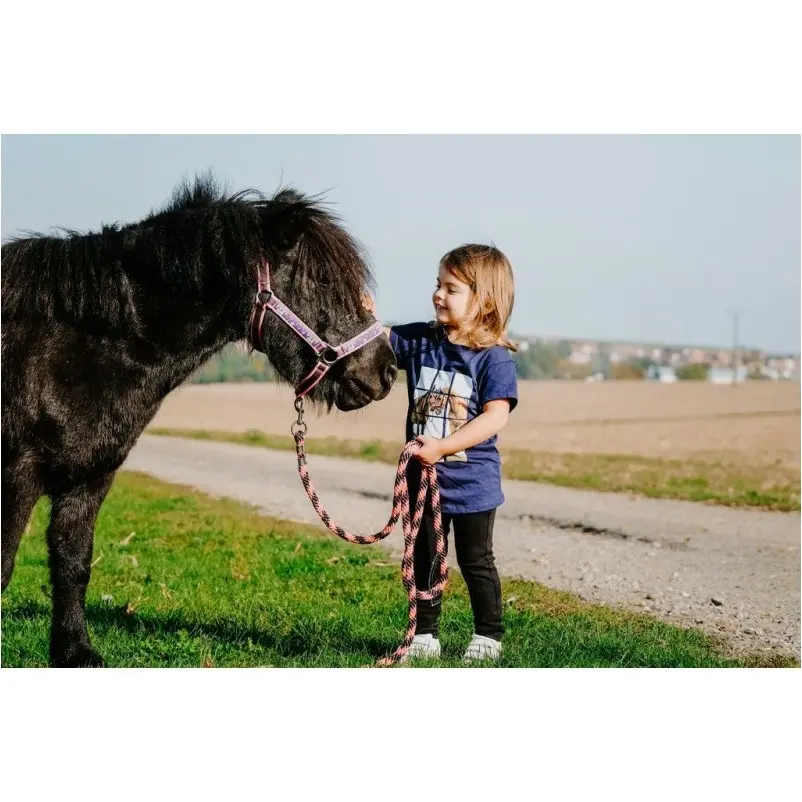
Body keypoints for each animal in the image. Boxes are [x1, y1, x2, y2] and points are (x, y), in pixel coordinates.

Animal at [1, 173, 396, 664]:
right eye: (324, 283)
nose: (385, 371)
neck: (70, 350)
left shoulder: (89, 478)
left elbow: (73, 564)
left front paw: (75, 652)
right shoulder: (17, 475)